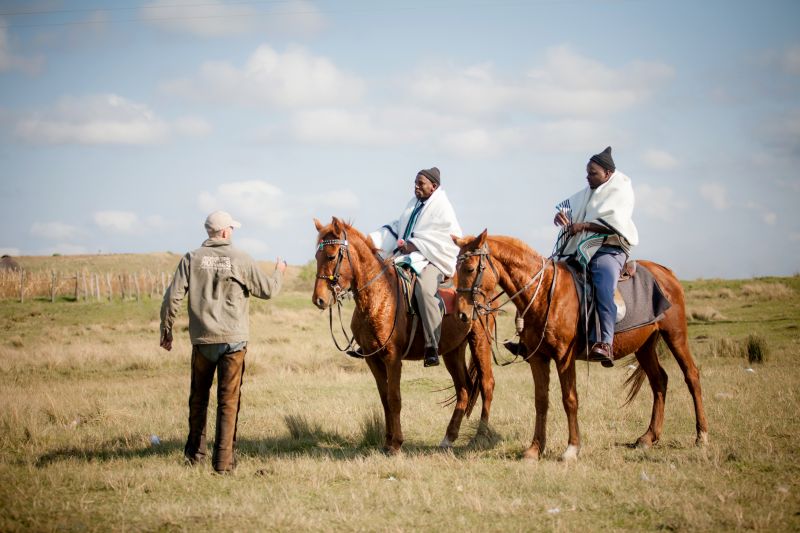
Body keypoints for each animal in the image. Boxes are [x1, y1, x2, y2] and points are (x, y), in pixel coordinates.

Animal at [310, 216, 494, 454]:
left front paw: (396, 444)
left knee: (486, 385)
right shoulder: (372, 359)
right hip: (453, 351)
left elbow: (394, 397)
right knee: (463, 389)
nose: (319, 299)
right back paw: (448, 438)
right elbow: (385, 399)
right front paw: (387, 441)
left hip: (480, 342)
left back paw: (481, 437)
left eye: (332, 255)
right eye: (316, 256)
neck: (379, 296)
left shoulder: (392, 358)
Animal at [454, 231, 708, 460]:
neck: (544, 293)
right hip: (644, 346)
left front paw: (572, 448)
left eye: (469, 269)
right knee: (659, 381)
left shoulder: (564, 357)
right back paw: (648, 437)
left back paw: (701, 436)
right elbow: (541, 401)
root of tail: (666, 272)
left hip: (675, 336)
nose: (462, 315)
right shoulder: (538, 358)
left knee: (691, 375)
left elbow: (570, 399)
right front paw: (535, 449)